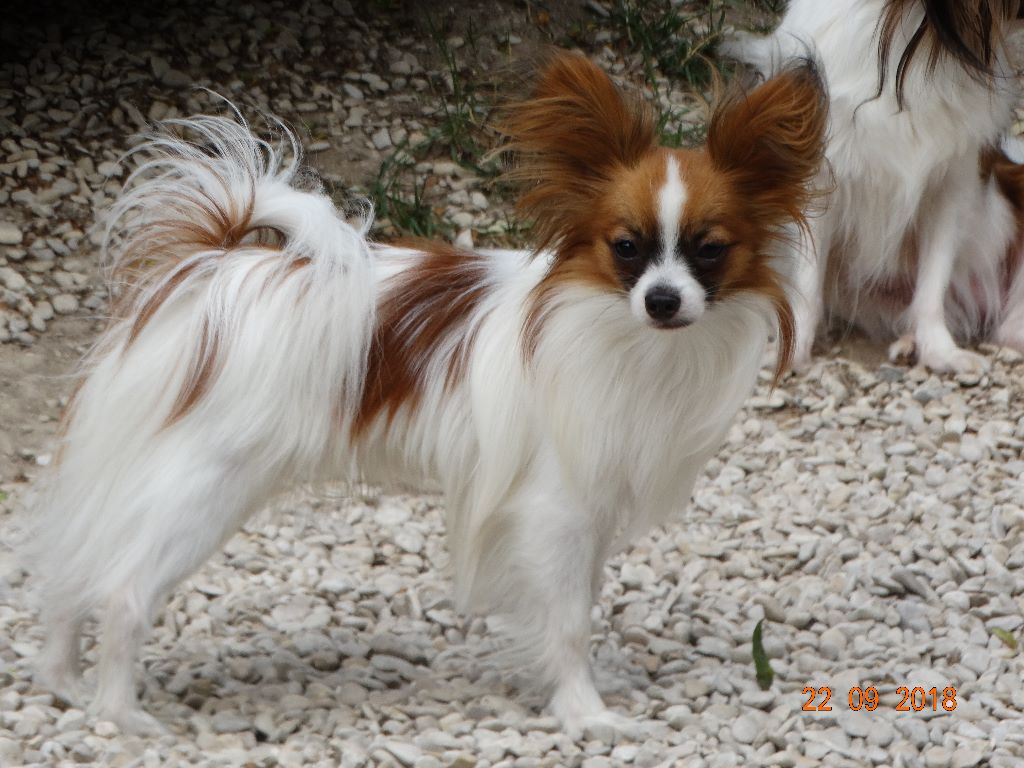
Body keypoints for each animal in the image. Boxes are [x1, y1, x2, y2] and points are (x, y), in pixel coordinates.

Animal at [25, 52, 826, 735]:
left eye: (710, 251)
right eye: (625, 248)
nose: (662, 299)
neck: (624, 335)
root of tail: (212, 263)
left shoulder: (592, 506)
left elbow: (581, 606)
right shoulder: (557, 508)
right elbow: (568, 622)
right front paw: (585, 712)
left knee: (75, 566)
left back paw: (64, 684)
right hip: (205, 488)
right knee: (123, 590)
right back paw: (120, 715)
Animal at [721, 0, 1024, 373]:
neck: (920, 39)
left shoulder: (953, 182)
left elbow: (933, 282)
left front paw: (940, 352)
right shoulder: (819, 180)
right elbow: (807, 285)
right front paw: (791, 354)